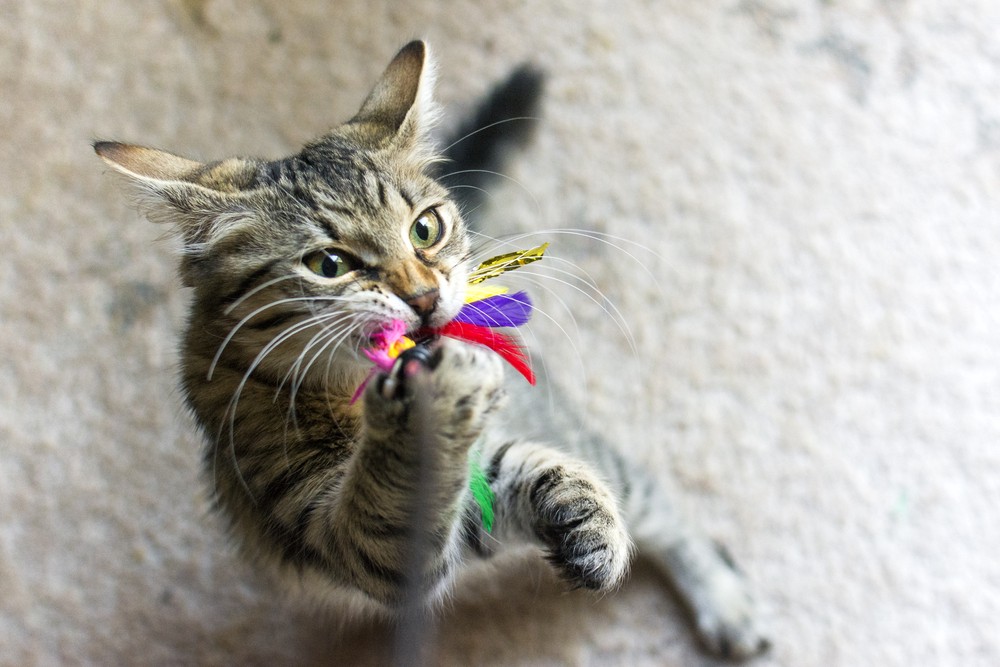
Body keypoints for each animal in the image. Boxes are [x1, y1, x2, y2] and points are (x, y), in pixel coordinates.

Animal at [95, 39, 764, 660]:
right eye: (329, 264)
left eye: (425, 229)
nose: (422, 297)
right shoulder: (334, 525)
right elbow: (403, 486)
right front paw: (433, 405)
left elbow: (522, 468)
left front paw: (581, 512)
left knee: (657, 500)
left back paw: (725, 602)